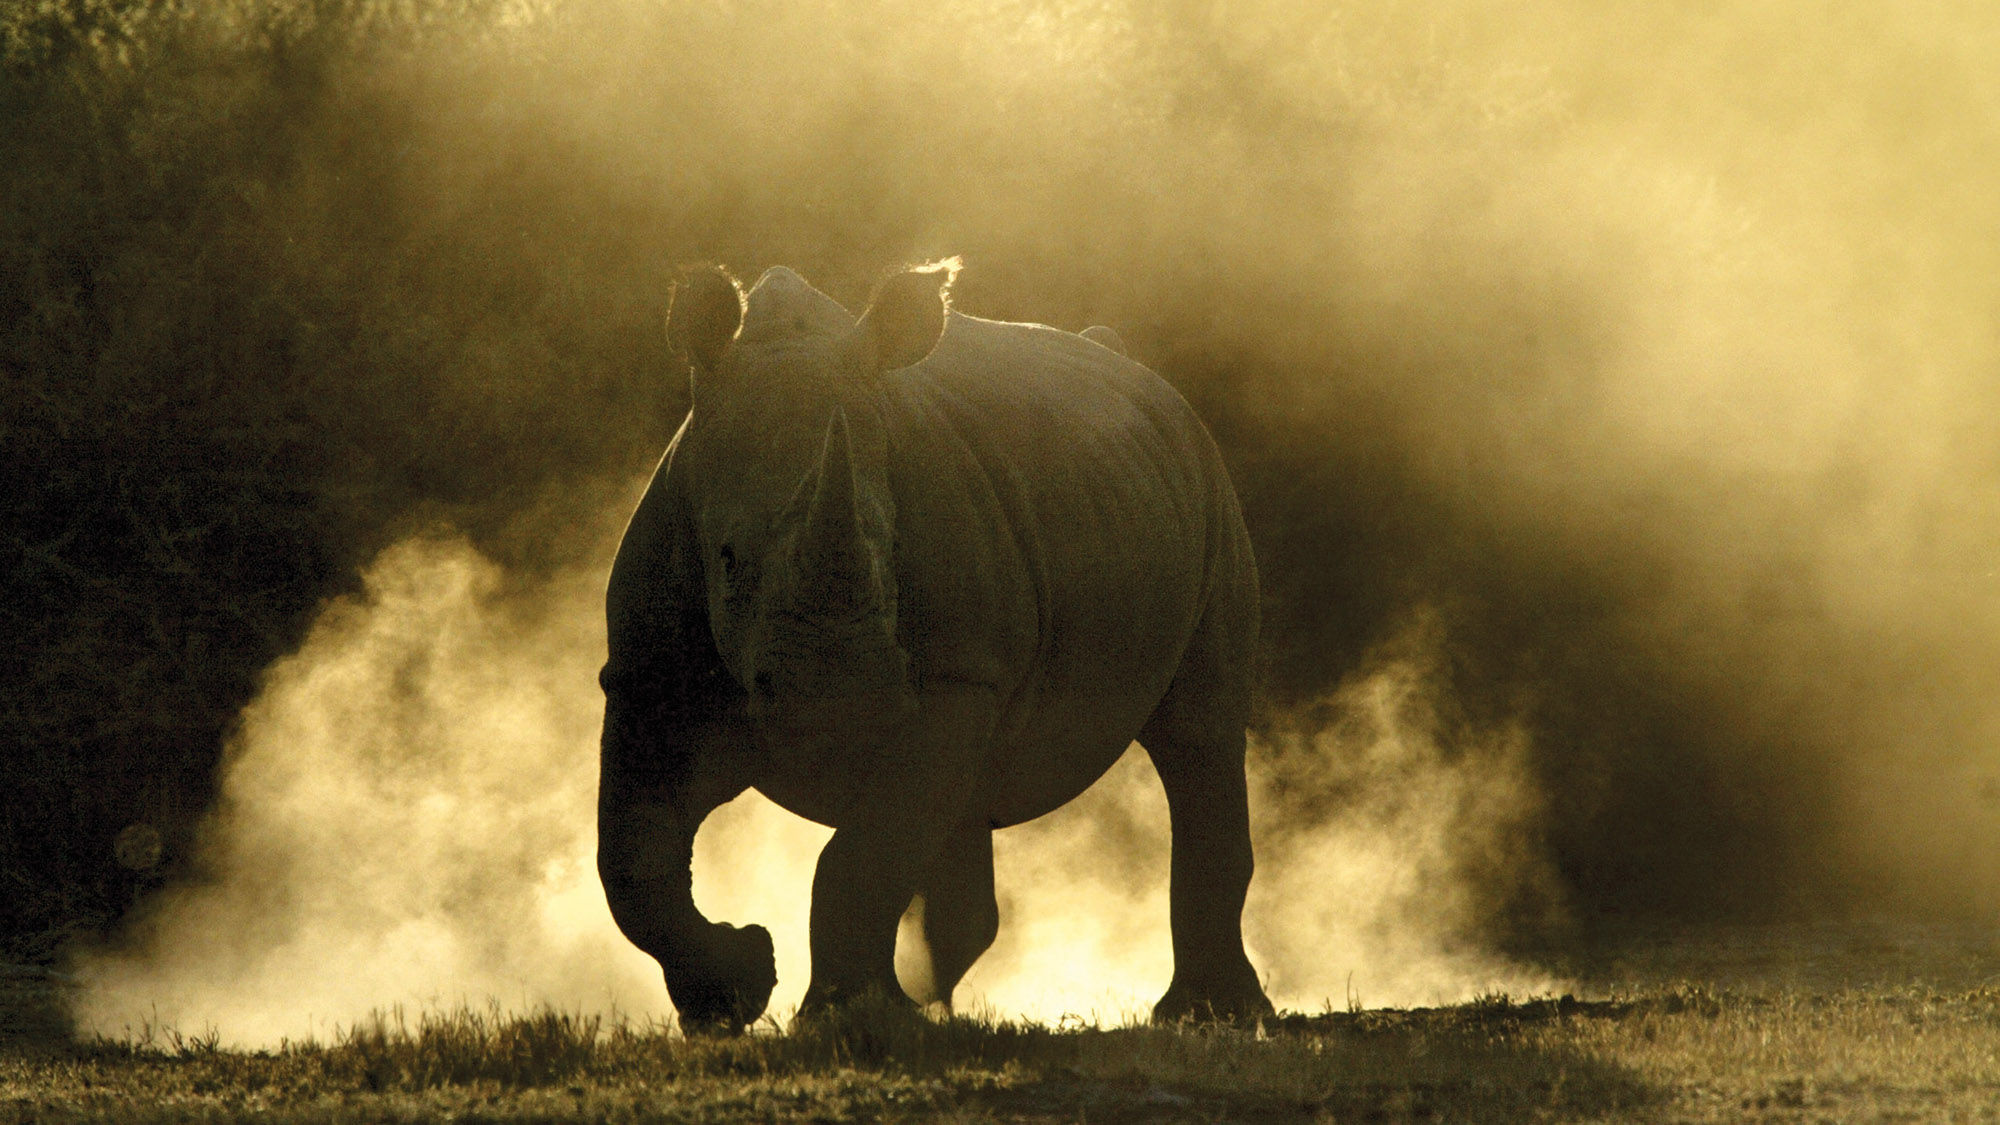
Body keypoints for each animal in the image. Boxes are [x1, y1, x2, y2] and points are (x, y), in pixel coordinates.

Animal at [597, 260, 1272, 1033]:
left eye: (889, 550)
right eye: (727, 558)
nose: (843, 709)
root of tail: (1135, 368)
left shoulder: (957, 675)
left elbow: (864, 855)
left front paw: (840, 1019)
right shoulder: (645, 674)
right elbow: (632, 859)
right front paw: (727, 998)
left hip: (1208, 489)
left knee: (1199, 733)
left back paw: (1210, 1015)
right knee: (961, 809)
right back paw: (931, 1002)